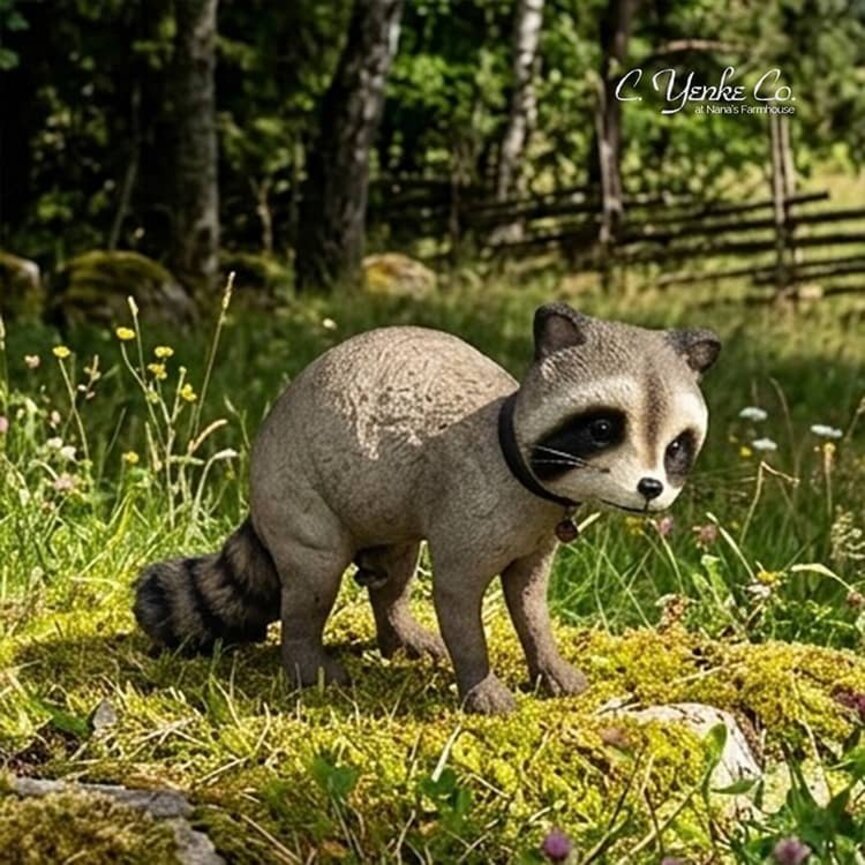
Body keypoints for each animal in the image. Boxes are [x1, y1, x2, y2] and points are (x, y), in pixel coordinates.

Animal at [134, 303, 720, 714]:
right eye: (602, 428)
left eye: (675, 448)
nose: (651, 488)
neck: (532, 479)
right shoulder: (467, 510)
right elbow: (458, 602)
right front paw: (479, 682)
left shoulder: (537, 538)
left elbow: (529, 604)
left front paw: (548, 663)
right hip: (295, 490)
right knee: (312, 582)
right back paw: (305, 661)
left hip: (385, 512)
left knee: (392, 573)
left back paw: (397, 631)